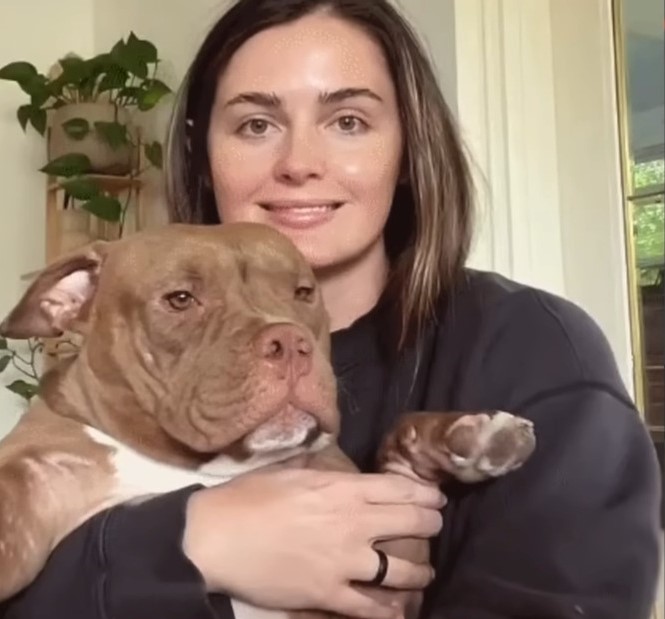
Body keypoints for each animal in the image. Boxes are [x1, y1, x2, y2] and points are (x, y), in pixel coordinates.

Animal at [0, 224, 532, 619]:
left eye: (304, 292)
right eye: (180, 299)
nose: (291, 342)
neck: (204, 467)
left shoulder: (389, 574)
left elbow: (402, 438)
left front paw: (474, 436)